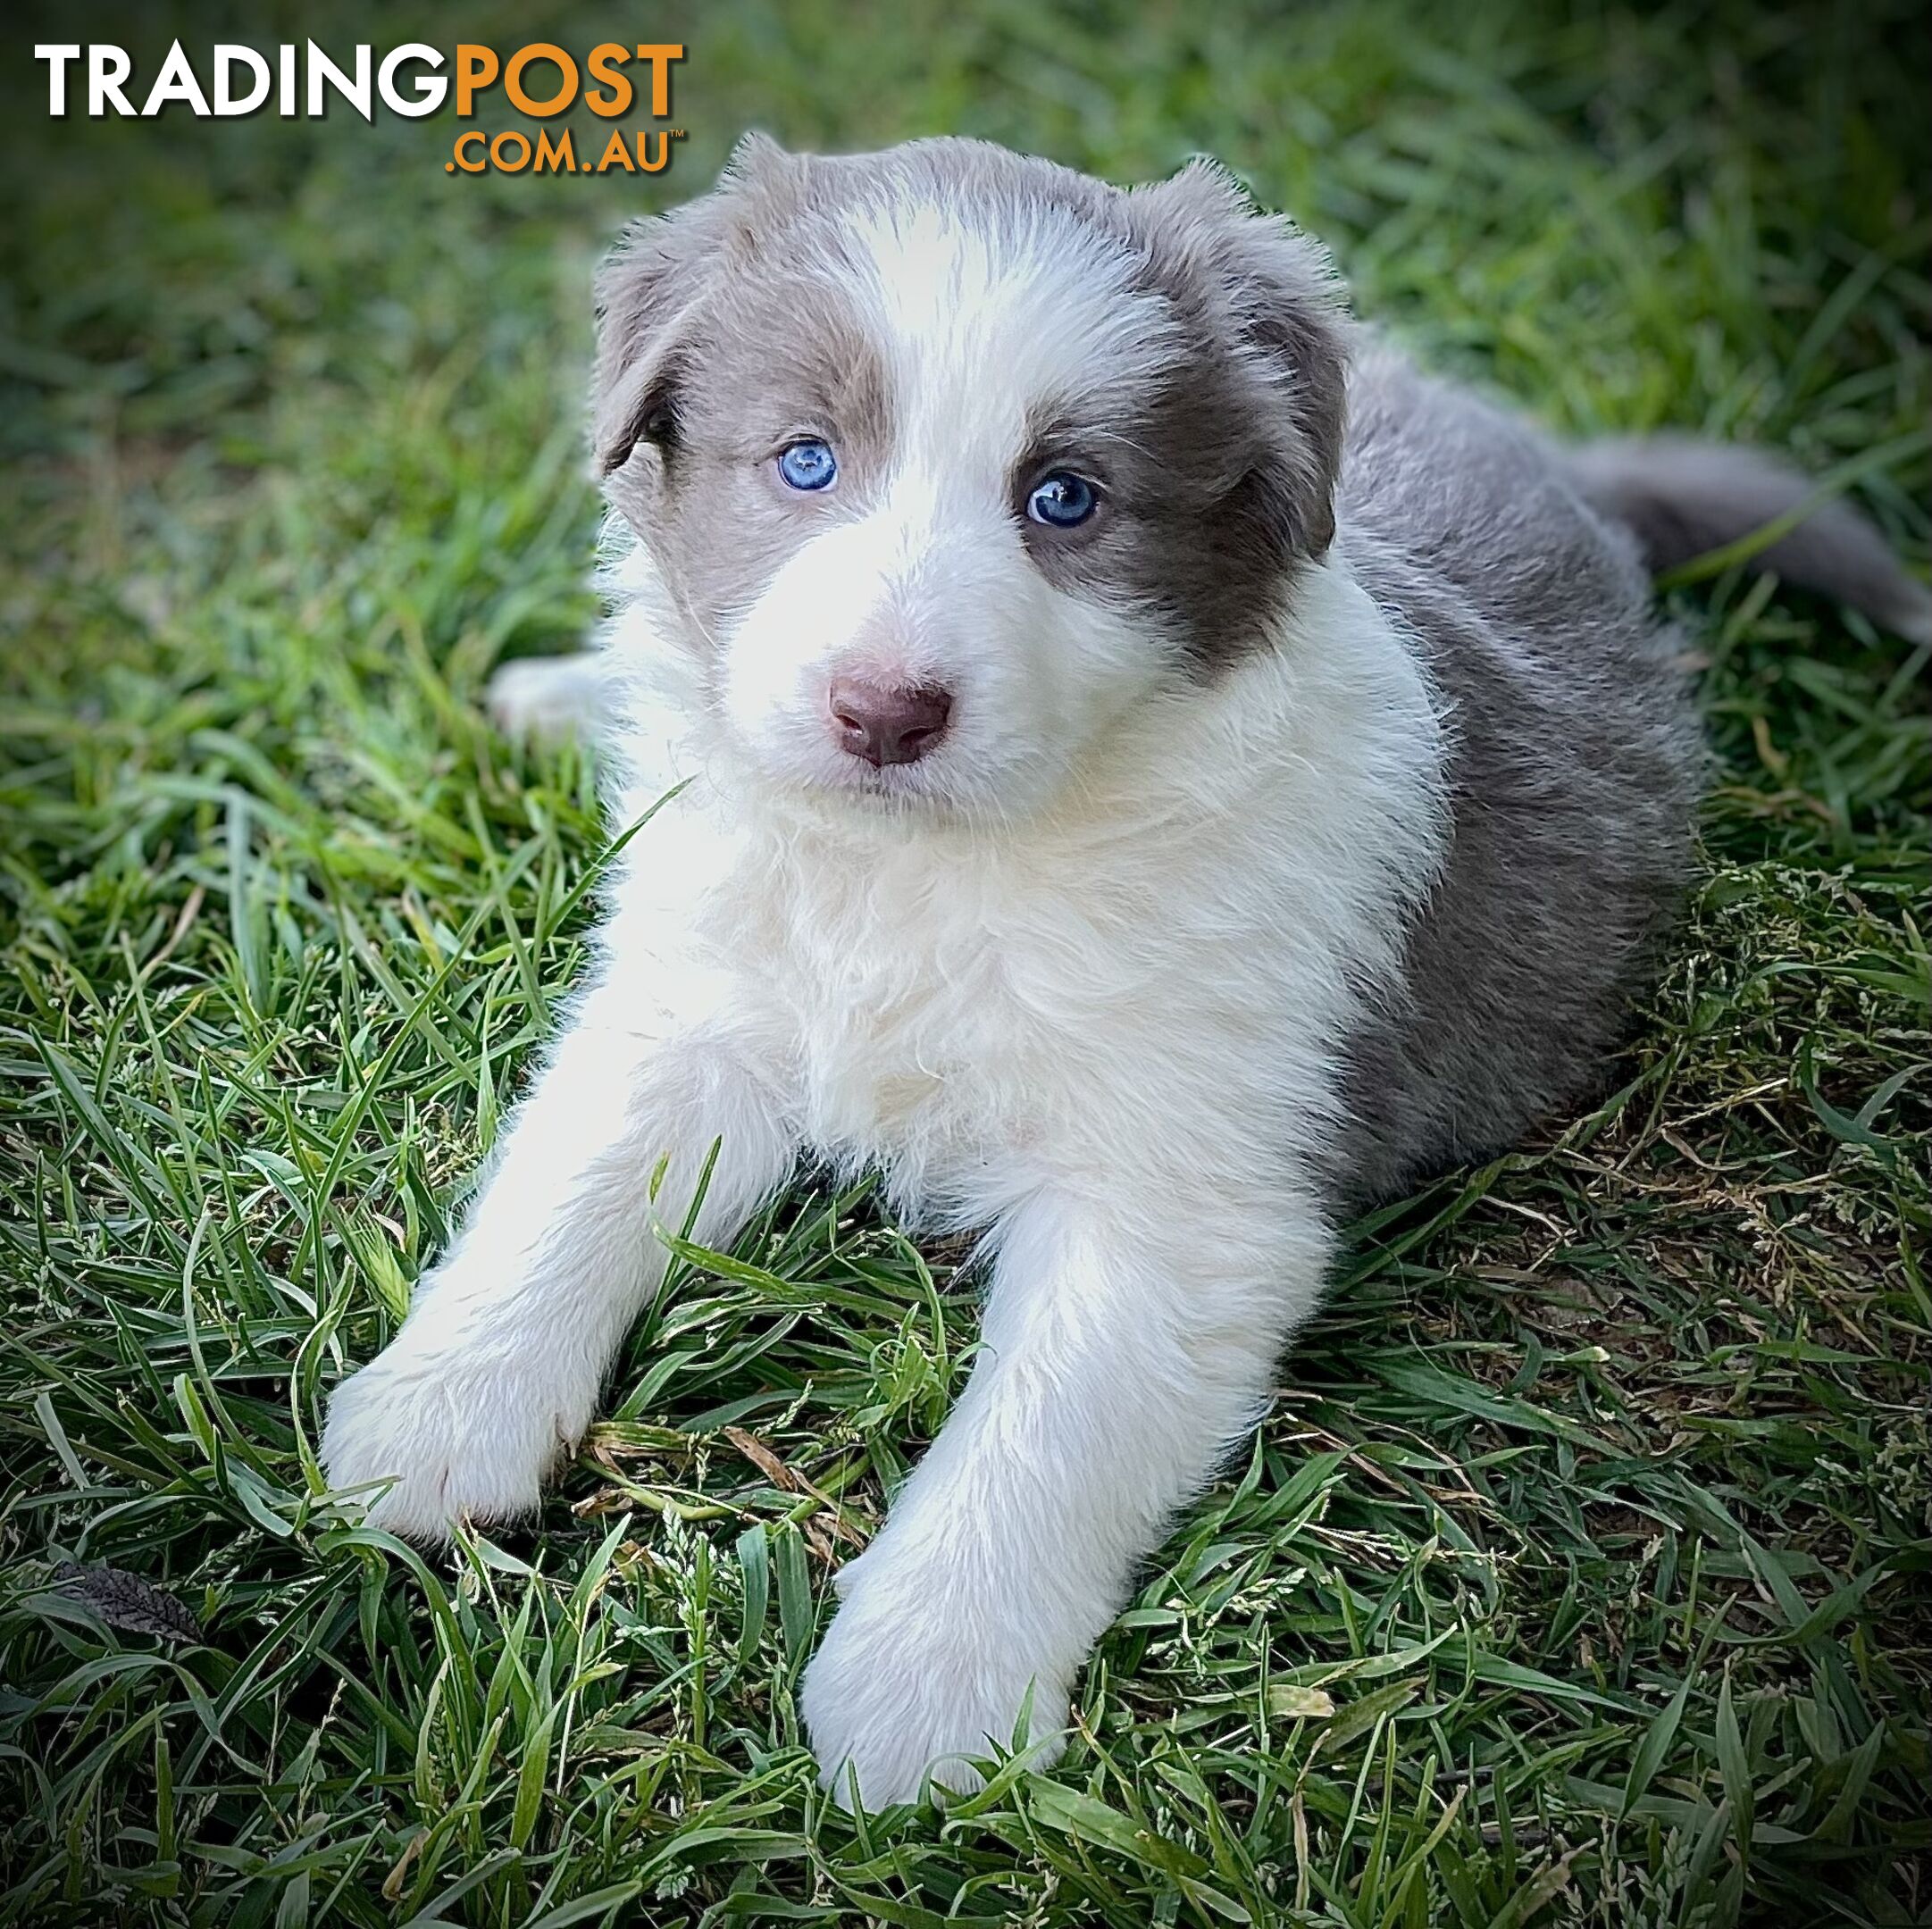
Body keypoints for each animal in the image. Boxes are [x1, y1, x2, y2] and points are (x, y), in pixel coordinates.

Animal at [321, 136, 1932, 1807]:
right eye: (804, 463)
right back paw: (555, 697)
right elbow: (565, 1181)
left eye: (1065, 499)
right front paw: (436, 1413)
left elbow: (1043, 1431)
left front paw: (922, 1702)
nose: (881, 711)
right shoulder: (695, 994)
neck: (936, 865)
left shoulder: (1180, 1195)